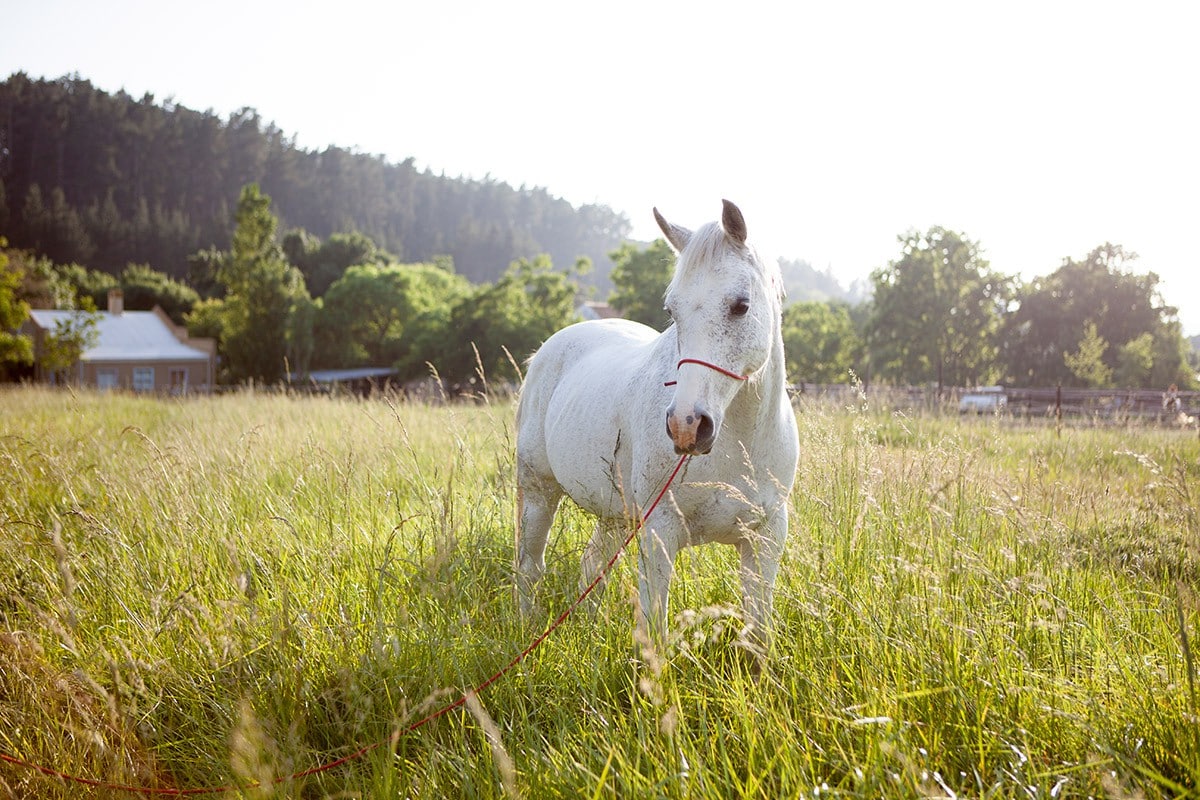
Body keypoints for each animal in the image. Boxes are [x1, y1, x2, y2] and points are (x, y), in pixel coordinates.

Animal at [513, 200, 796, 652]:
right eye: (671, 311)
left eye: (740, 305)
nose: (686, 426)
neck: (740, 442)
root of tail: (548, 349)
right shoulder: (660, 532)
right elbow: (656, 632)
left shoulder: (766, 538)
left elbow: (758, 635)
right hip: (539, 491)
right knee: (530, 566)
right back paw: (528, 626)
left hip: (615, 514)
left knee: (592, 564)